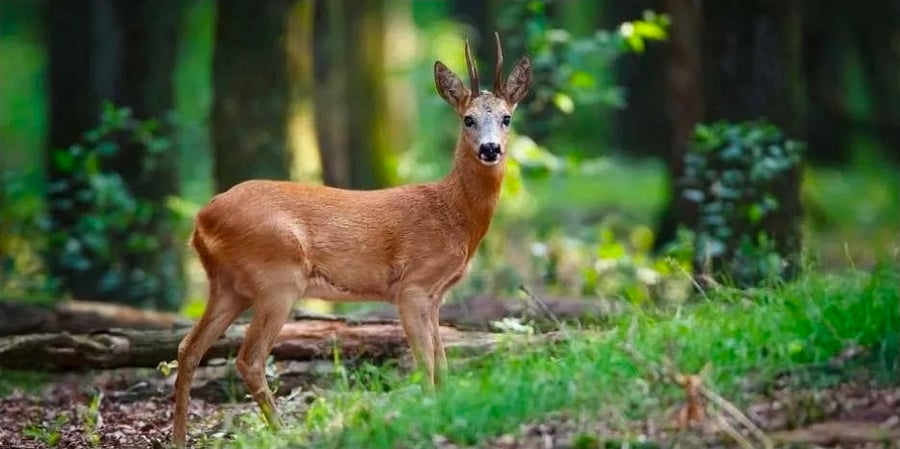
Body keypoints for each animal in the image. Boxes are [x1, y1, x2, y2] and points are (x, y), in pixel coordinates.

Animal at [171, 33, 532, 447]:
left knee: (188, 347)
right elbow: (426, 364)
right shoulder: (411, 287)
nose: (490, 149)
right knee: (249, 359)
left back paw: (179, 438)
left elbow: (443, 365)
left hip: (229, 286)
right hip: (277, 279)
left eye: (507, 118)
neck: (453, 214)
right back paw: (286, 433)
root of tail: (201, 219)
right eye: (468, 119)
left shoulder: (436, 296)